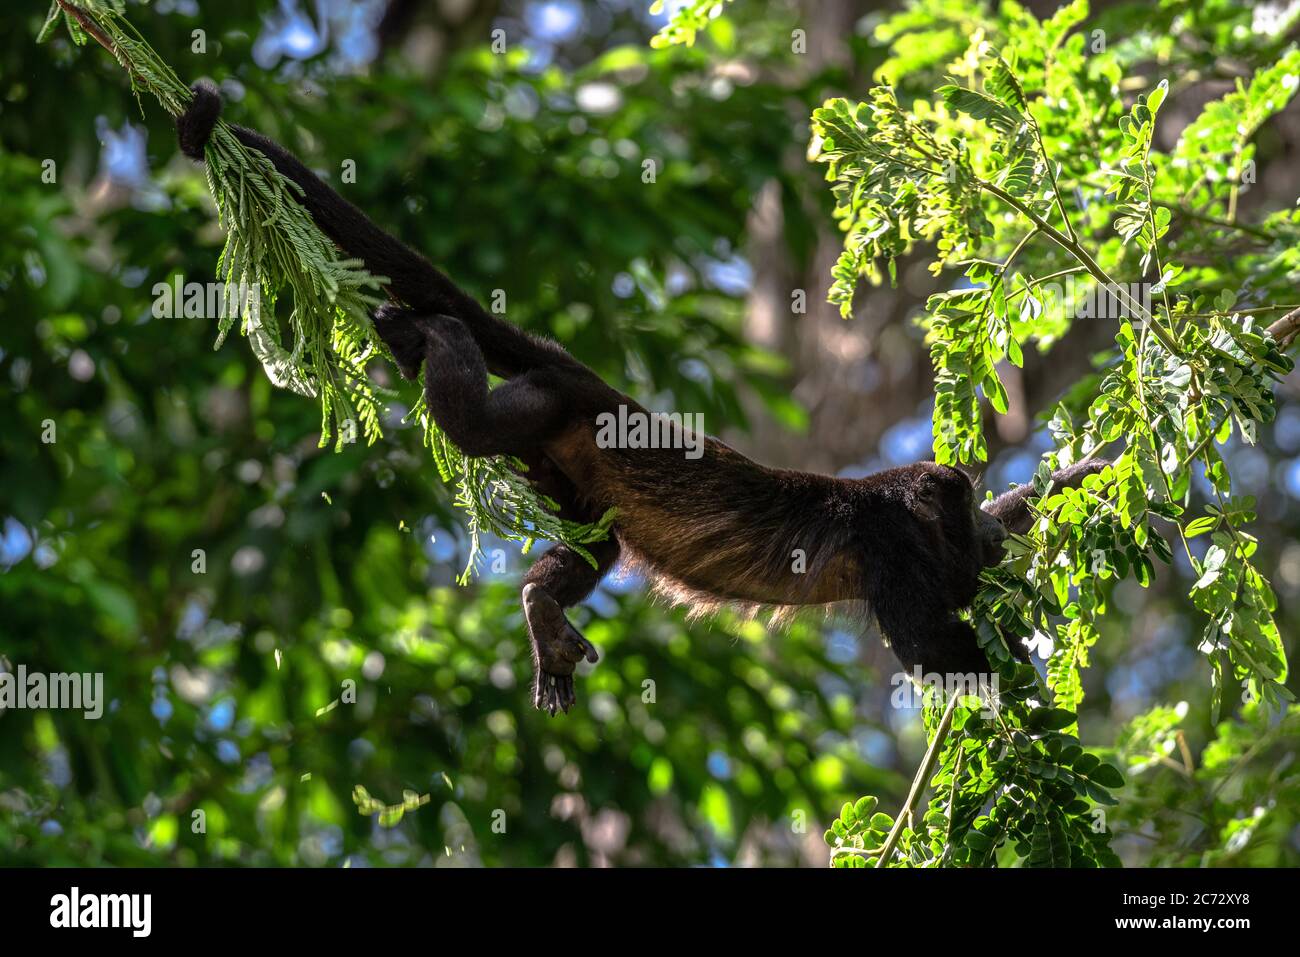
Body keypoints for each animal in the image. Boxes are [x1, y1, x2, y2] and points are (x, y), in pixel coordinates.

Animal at [175, 80, 1107, 712]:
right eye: (956, 515)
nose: (980, 537)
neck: (906, 506)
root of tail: (590, 379)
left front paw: (1071, 480)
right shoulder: (893, 546)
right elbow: (930, 648)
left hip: (562, 469)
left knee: (599, 546)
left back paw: (539, 602)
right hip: (545, 404)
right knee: (473, 423)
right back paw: (433, 339)